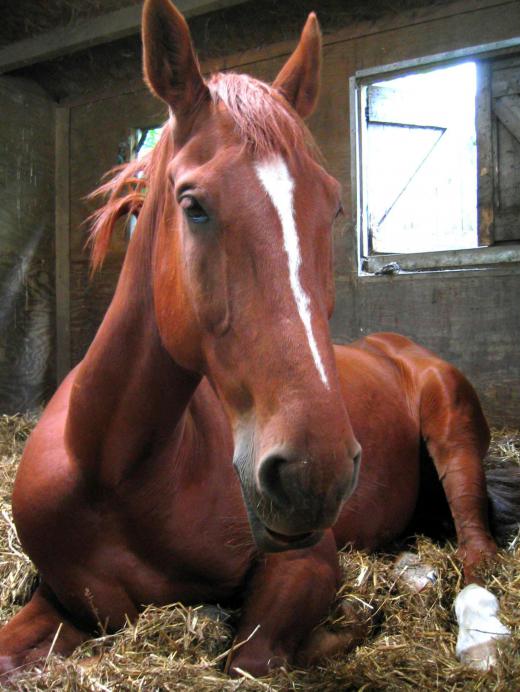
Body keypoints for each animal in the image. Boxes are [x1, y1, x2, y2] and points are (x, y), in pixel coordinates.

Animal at [1, 0, 520, 680]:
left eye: (331, 206)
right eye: (193, 205)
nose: (314, 472)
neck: (111, 472)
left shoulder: (306, 559)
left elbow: (251, 655)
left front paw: (348, 626)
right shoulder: (61, 599)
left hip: (453, 436)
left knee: (476, 545)